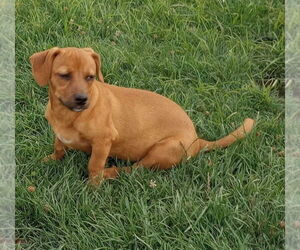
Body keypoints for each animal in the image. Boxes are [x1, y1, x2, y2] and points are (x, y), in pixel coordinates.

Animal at [29, 47, 255, 185]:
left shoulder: (103, 141)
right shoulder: (59, 134)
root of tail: (197, 141)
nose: (82, 100)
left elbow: (94, 165)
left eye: (90, 77)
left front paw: (92, 188)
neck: (67, 115)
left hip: (164, 150)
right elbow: (59, 147)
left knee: (136, 169)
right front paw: (51, 159)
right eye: (64, 75)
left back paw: (110, 173)